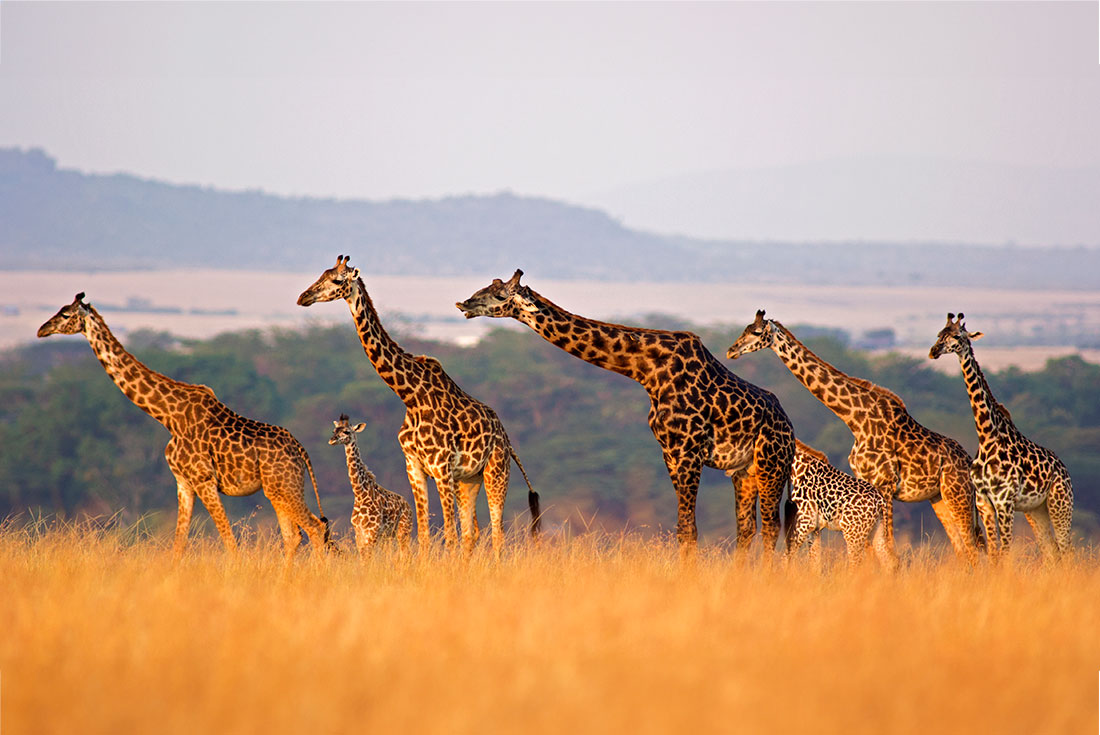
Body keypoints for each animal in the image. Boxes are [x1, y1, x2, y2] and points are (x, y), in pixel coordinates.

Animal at [37, 293, 331, 562]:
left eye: (65, 314)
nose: (42, 330)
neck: (167, 416)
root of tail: (301, 450)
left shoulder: (203, 479)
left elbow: (229, 540)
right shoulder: (183, 482)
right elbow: (179, 544)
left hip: (283, 486)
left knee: (316, 528)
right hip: (278, 490)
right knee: (294, 536)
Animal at [329, 414, 413, 556]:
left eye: (347, 431)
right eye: (334, 430)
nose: (331, 440)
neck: (360, 494)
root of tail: (408, 506)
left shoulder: (372, 532)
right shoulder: (359, 532)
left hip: (403, 530)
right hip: (388, 536)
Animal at [456, 270, 795, 557]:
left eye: (500, 295)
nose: (464, 303)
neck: (647, 370)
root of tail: (790, 428)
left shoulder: (688, 451)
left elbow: (689, 529)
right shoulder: (670, 452)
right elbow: (683, 528)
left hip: (772, 464)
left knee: (771, 526)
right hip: (744, 471)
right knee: (747, 529)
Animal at [786, 439, 897, 570]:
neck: (798, 470)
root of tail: (880, 500)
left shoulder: (804, 523)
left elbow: (786, 557)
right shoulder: (815, 529)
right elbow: (815, 563)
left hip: (853, 533)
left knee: (857, 564)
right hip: (877, 530)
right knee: (889, 561)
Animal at [929, 313, 1073, 561]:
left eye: (957, 336)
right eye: (939, 334)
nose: (934, 351)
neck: (987, 436)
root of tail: (1064, 470)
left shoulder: (1004, 501)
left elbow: (1004, 553)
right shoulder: (983, 501)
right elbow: (994, 554)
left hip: (1060, 504)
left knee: (1066, 550)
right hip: (1037, 510)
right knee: (1051, 551)